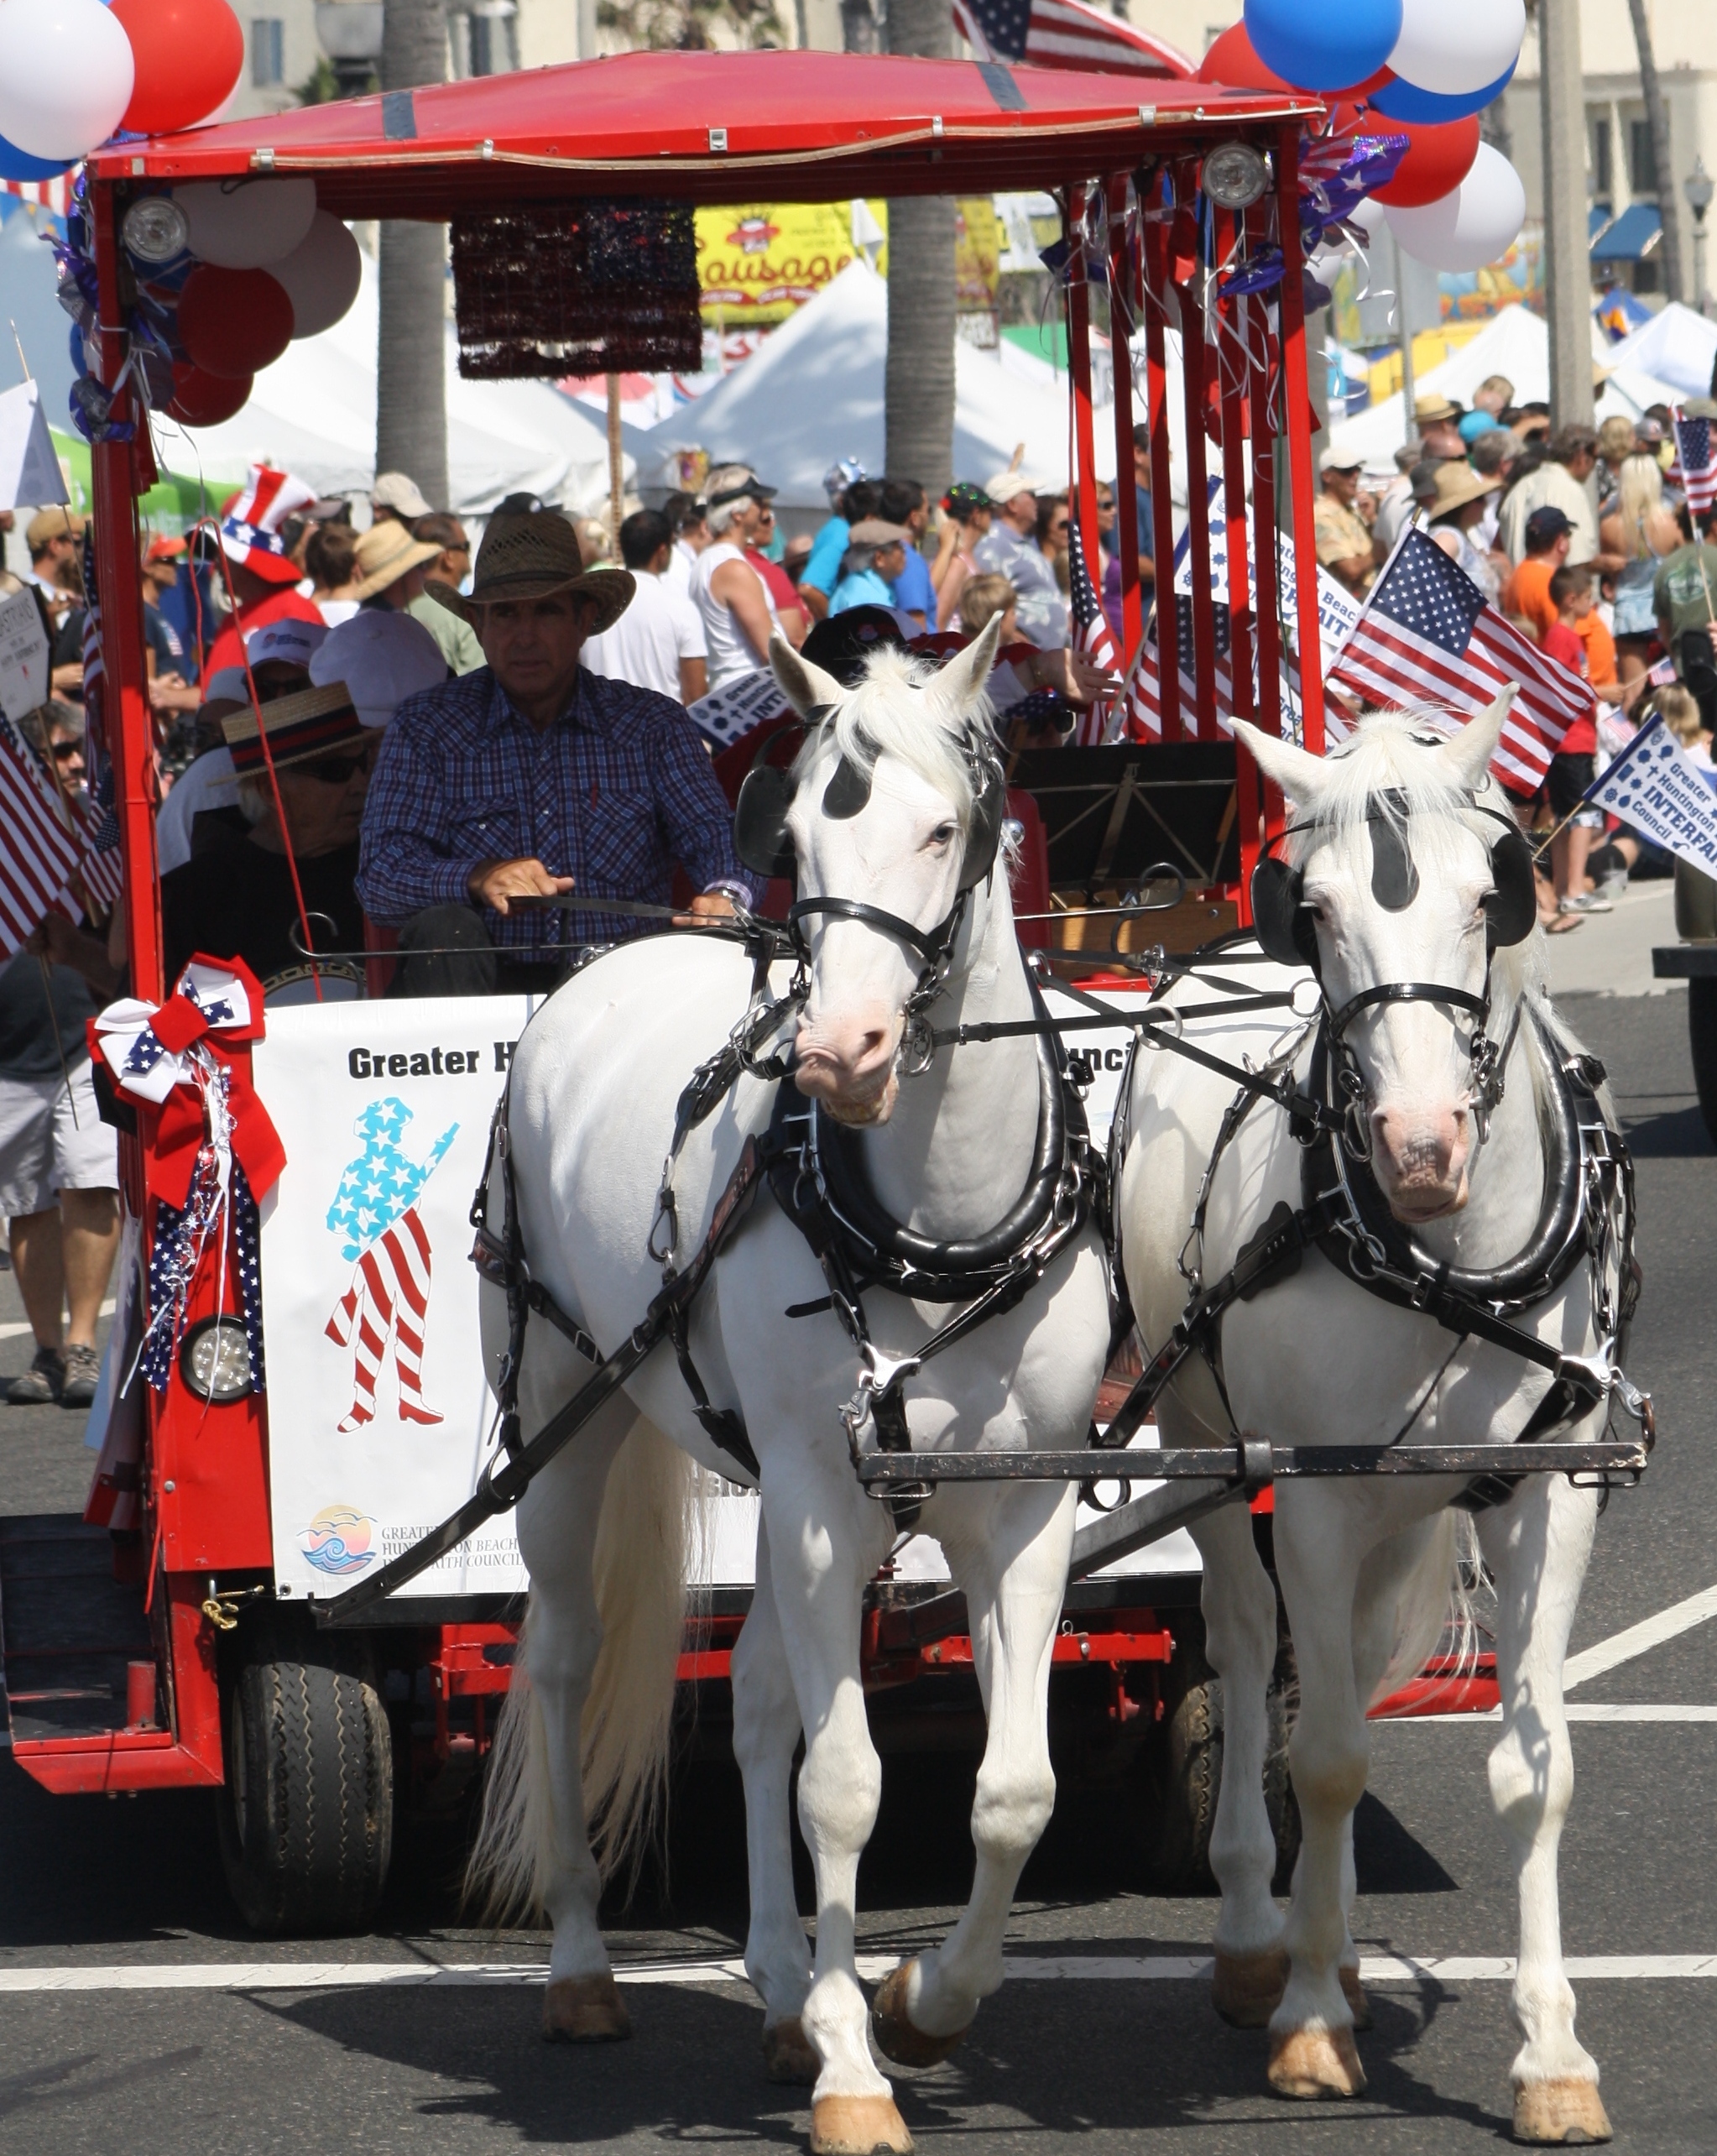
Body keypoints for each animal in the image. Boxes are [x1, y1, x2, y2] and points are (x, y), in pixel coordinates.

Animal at [467, 617, 1112, 2156]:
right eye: (803, 839)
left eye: (944, 828)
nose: (840, 1054)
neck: (938, 1228)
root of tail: (606, 958)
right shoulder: (825, 1498)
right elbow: (846, 1780)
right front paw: (852, 2067)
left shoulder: (1017, 1506)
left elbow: (1012, 1790)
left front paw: (915, 2000)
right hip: (565, 1425)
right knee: (566, 1659)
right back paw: (582, 1965)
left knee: (759, 1687)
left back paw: (773, 1989)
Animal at [1115, 697, 1637, 2145]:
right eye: (1319, 909)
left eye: (1487, 896)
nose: (1417, 1146)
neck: (1442, 1255)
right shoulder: (1314, 1492)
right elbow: (1330, 1755)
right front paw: (1305, 2024)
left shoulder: (1550, 1492)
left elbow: (1534, 1768)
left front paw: (1553, 2055)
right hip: (1210, 1447)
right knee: (1249, 1652)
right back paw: (1266, 1939)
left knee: (1335, 1655)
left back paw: (1331, 1941)